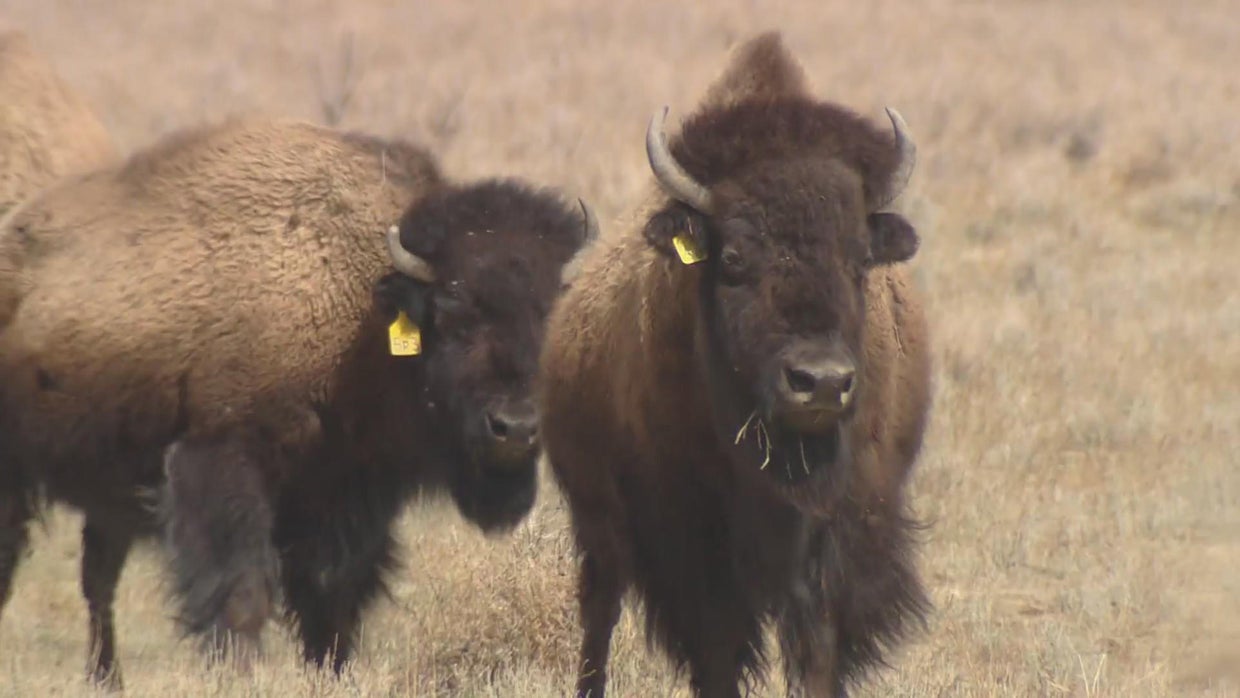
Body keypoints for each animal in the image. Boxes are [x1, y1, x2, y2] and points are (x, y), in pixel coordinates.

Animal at [0, 116, 595, 686]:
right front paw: (238, 671)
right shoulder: (224, 463)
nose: (515, 428)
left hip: (107, 495)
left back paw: (107, 677)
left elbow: (333, 592)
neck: (362, 302)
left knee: (97, 580)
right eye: (452, 312)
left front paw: (328, 668)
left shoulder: (351, 488)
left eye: (551, 312)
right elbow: (242, 586)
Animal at [539, 32, 933, 697]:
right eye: (733, 258)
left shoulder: (838, 533)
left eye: (859, 259)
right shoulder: (694, 546)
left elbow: (818, 647)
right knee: (599, 611)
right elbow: (717, 651)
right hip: (598, 524)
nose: (820, 382)